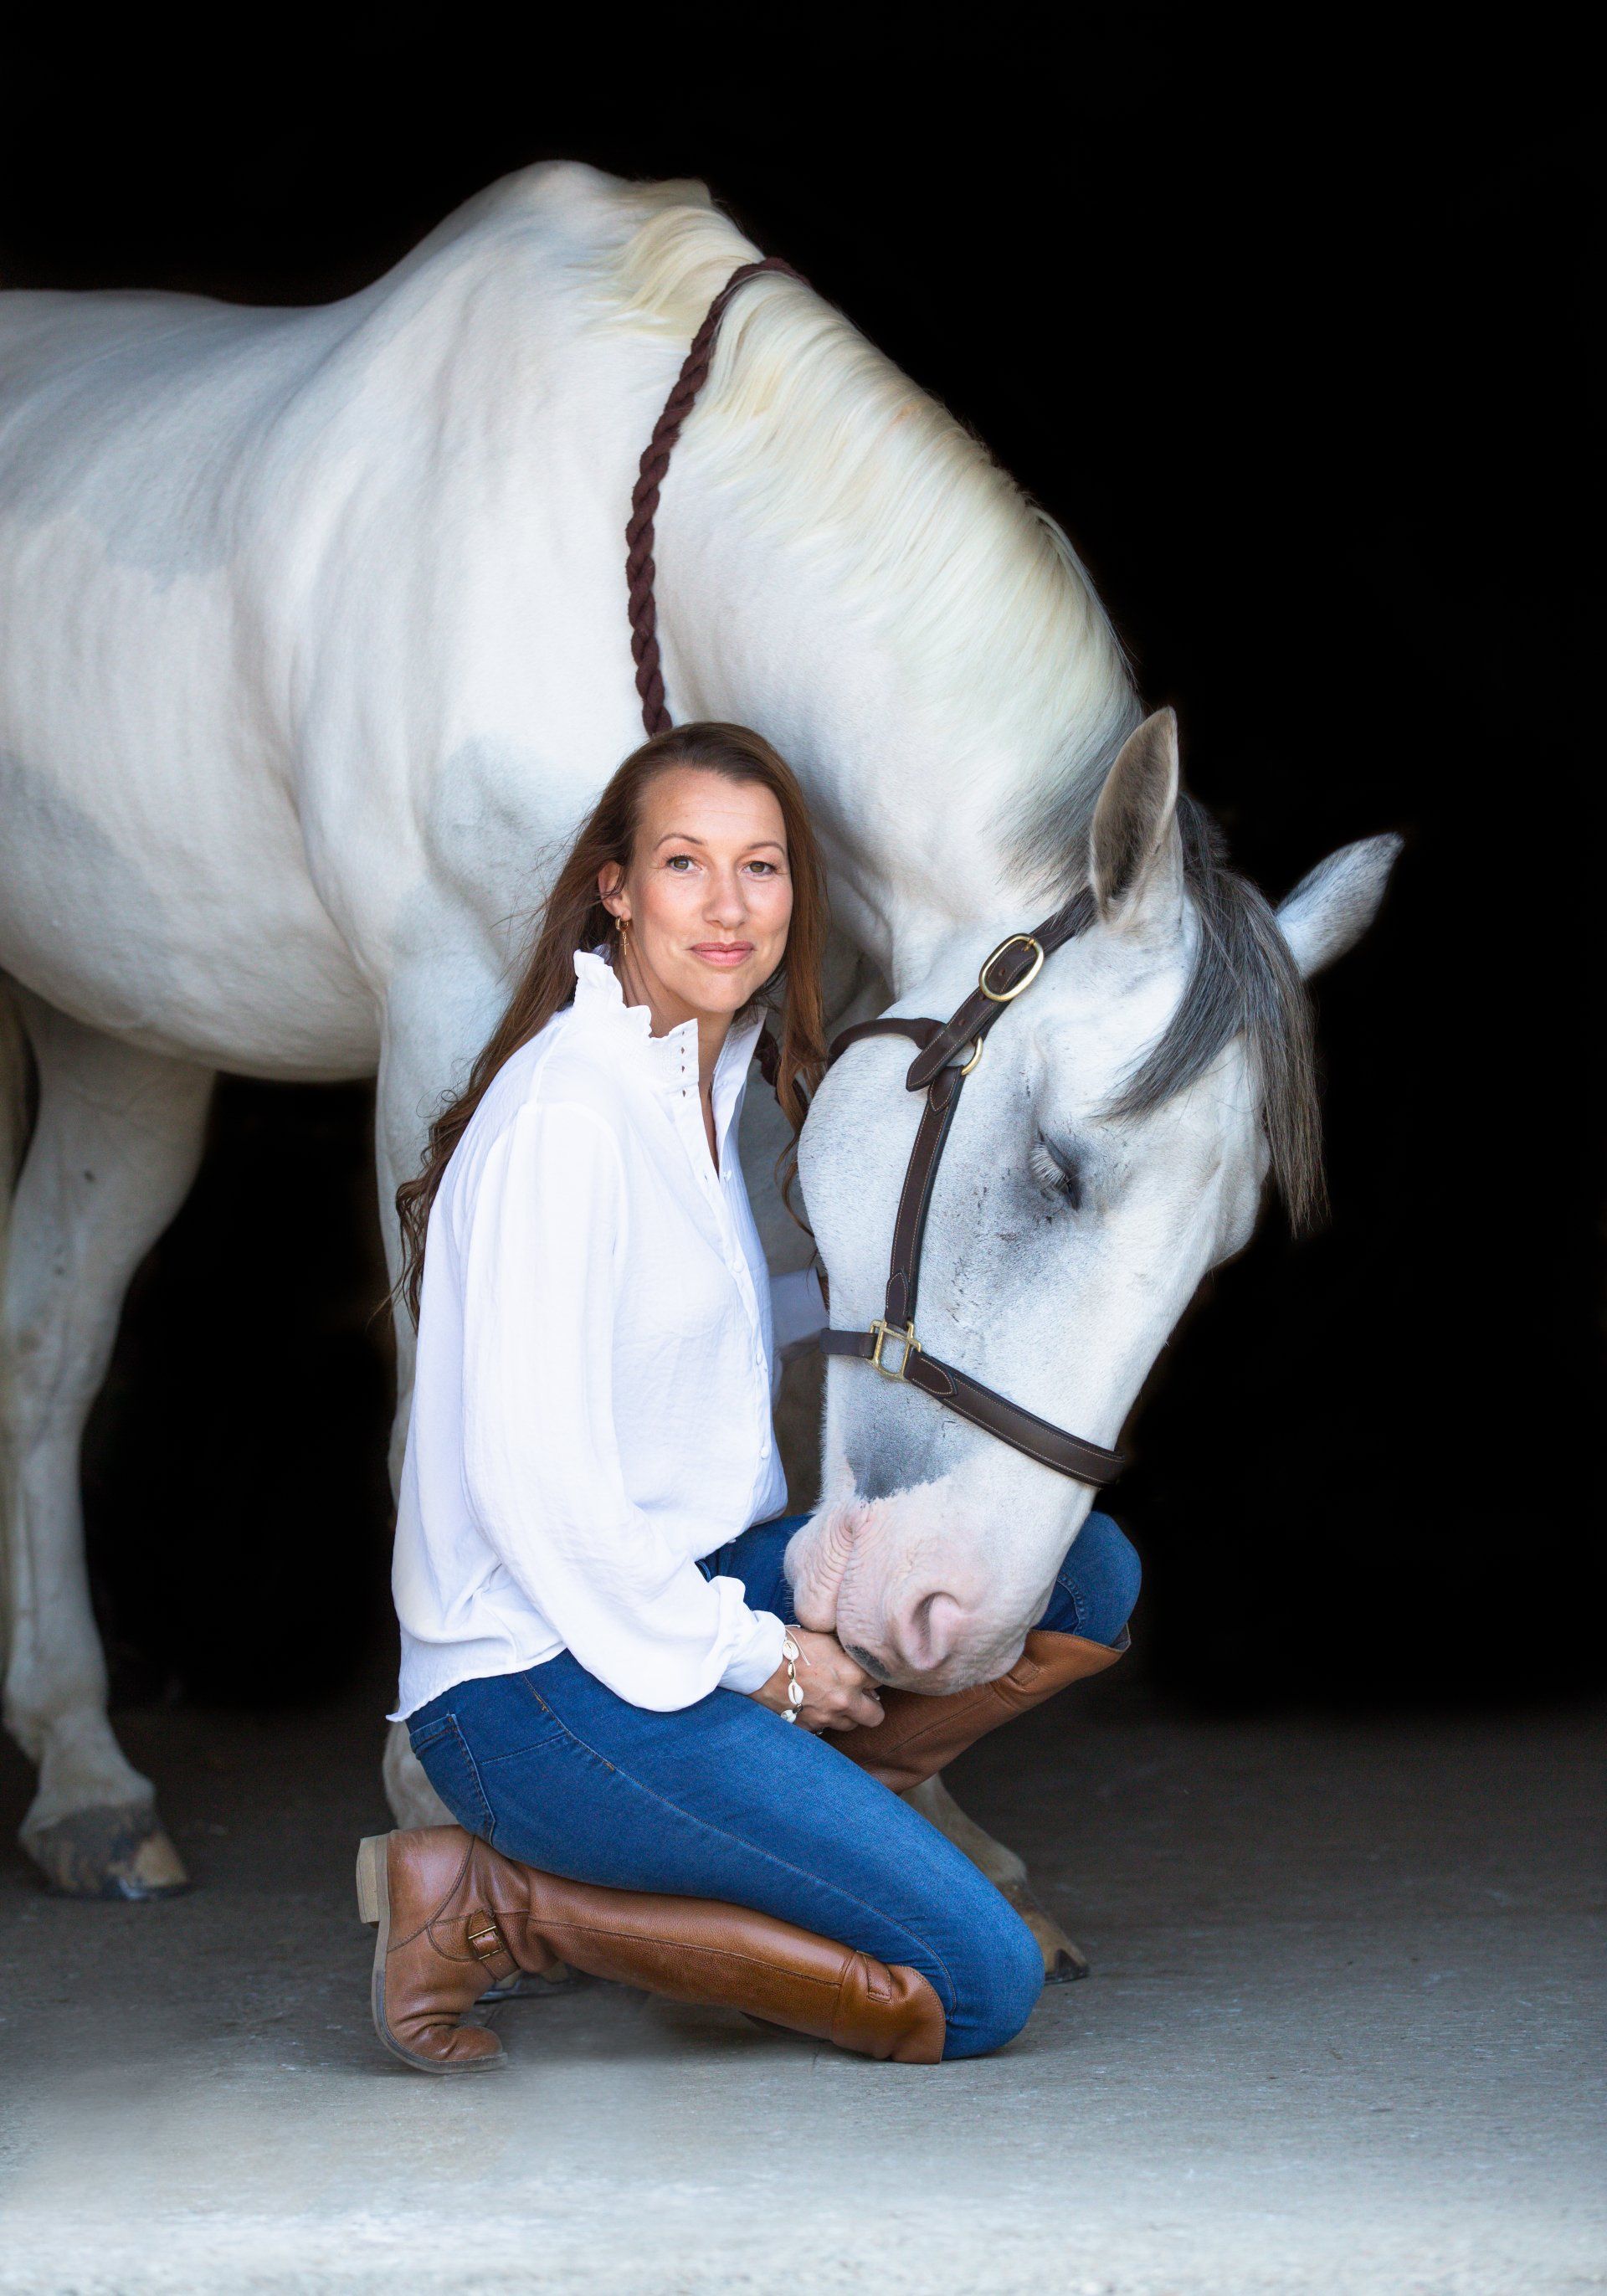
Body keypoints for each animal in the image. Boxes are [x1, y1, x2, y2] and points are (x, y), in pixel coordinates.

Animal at [0, 162, 1398, 1948]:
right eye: (1056, 1170)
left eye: (1220, 1254)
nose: (952, 1620)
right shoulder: (454, 1014)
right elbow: (444, 1388)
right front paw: (428, 1800)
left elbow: (800, 1382)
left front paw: (915, 1787)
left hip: (125, 1034)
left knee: (43, 1336)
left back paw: (81, 1777)